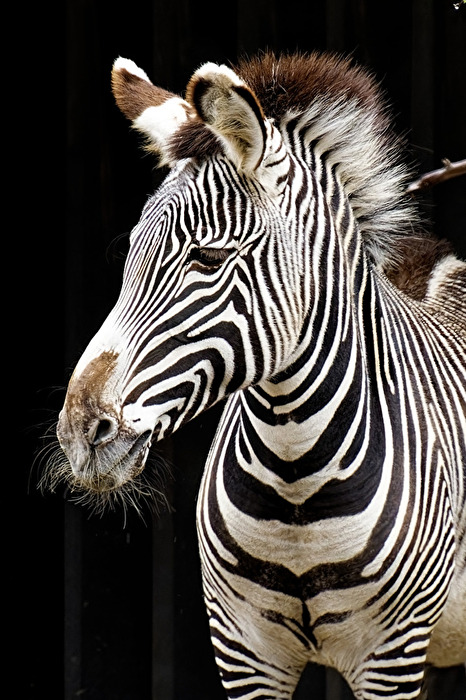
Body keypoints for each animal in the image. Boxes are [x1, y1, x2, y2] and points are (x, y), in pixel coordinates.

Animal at [53, 52, 466, 699]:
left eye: (208, 258)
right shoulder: (244, 651)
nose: (79, 433)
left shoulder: (390, 655)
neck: (295, 481)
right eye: (130, 256)